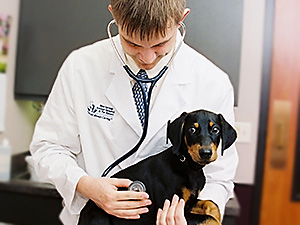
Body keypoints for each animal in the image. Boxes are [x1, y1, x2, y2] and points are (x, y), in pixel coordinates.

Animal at [79, 110, 237, 224]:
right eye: (192, 129)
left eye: (215, 130)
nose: (205, 153)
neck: (186, 164)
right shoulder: (169, 208)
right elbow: (209, 219)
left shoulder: (188, 203)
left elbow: (211, 205)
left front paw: (217, 214)